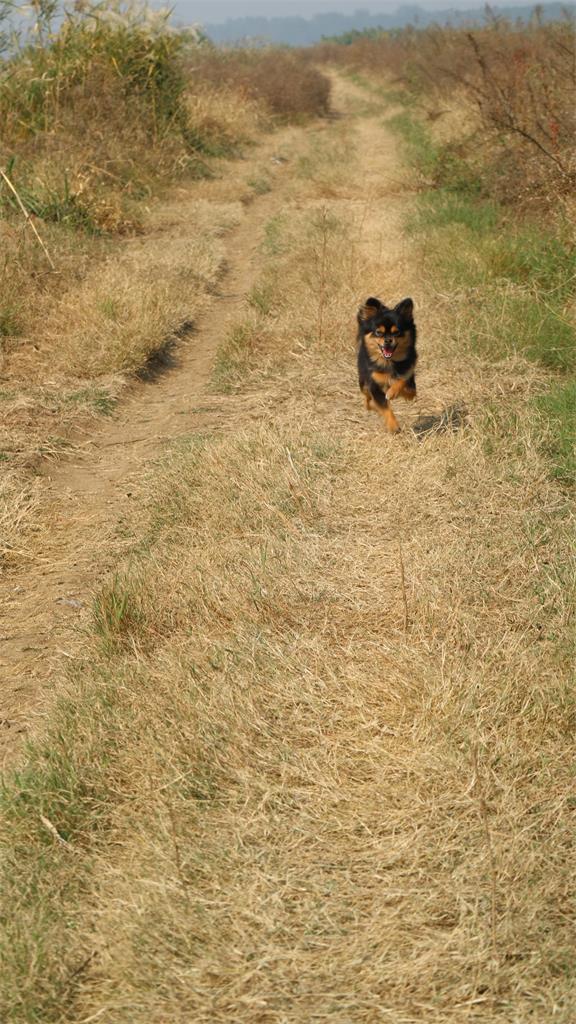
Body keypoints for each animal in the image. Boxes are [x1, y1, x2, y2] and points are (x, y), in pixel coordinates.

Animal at [356, 296, 414, 432]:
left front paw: (393, 392)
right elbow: (384, 406)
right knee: (368, 402)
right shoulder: (373, 385)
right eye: (378, 332)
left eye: (397, 332)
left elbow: (403, 382)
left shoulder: (409, 374)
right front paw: (393, 426)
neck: (389, 362)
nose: (388, 340)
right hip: (364, 383)